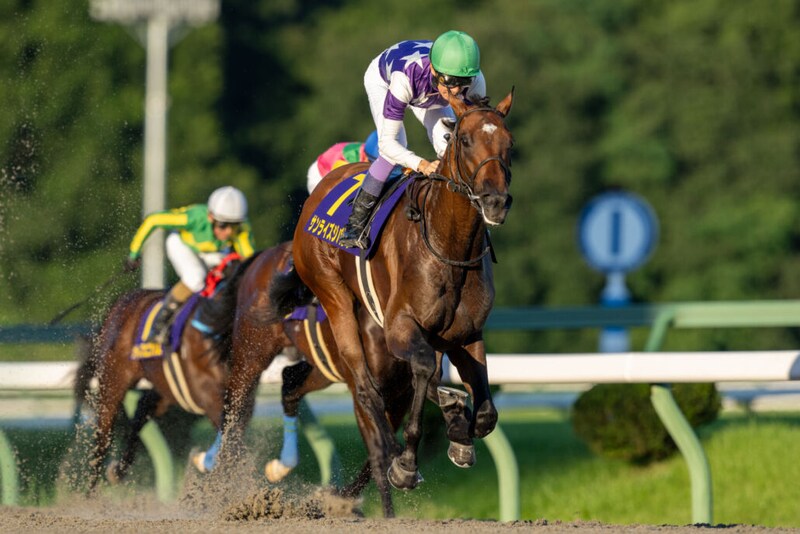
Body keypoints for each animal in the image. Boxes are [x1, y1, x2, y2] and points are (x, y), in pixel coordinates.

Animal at [280, 90, 515, 492]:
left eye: (509, 143)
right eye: (465, 140)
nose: (495, 201)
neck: (449, 247)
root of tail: (324, 186)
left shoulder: (466, 334)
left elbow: (485, 413)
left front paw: (460, 432)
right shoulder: (400, 327)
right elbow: (423, 374)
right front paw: (405, 463)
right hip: (333, 296)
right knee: (367, 387)